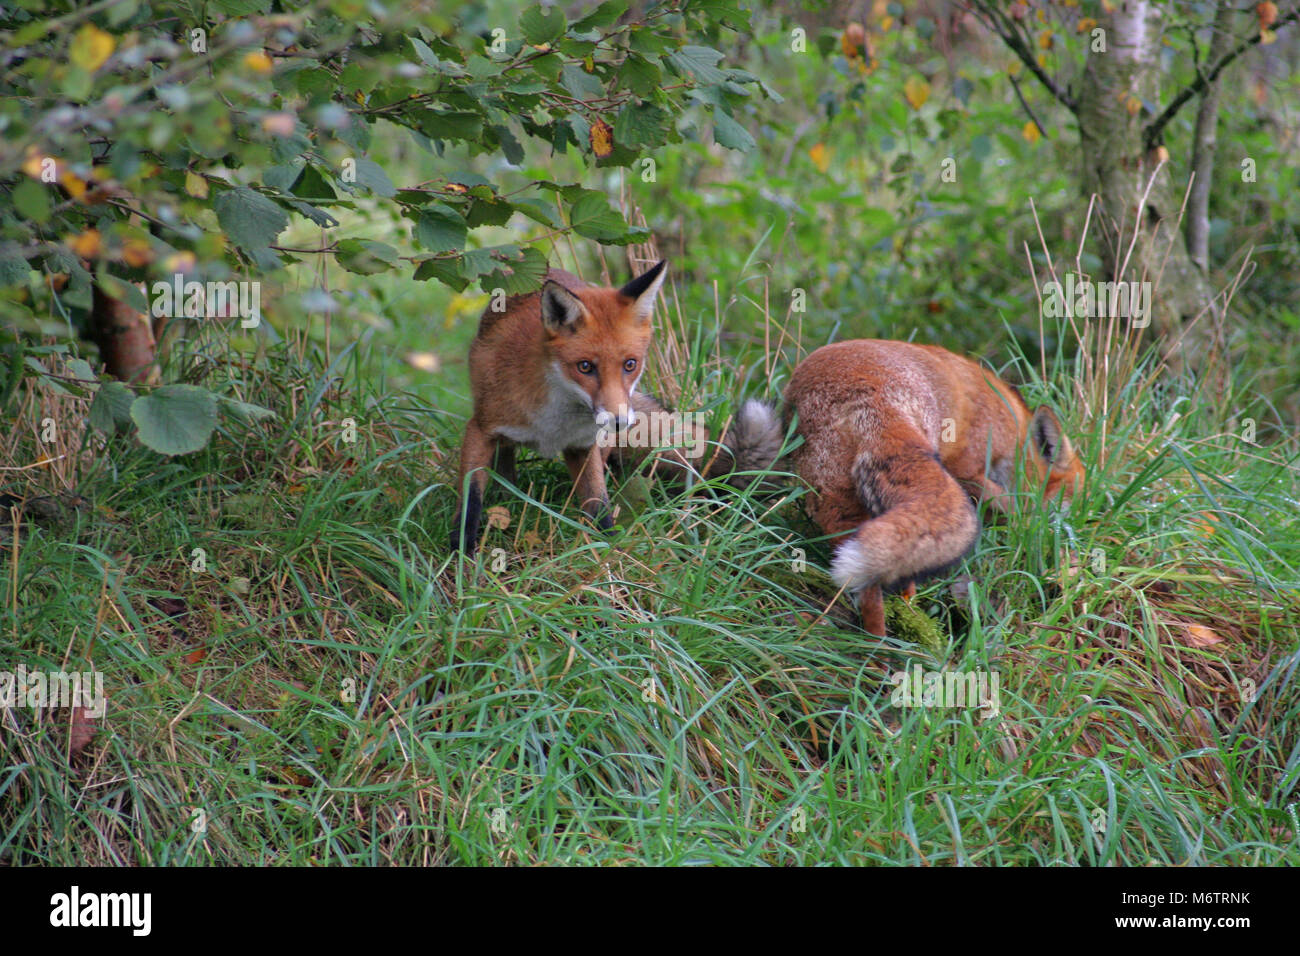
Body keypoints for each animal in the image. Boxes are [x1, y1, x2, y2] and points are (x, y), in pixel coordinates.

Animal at [452, 265, 785, 556]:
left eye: (630, 364)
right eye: (585, 367)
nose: (619, 421)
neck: (554, 421)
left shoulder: (583, 446)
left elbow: (598, 503)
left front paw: (609, 548)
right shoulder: (481, 428)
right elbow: (470, 499)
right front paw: (460, 552)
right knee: (505, 461)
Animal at [733, 340, 1086, 639]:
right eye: (1074, 500)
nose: (1082, 531)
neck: (1009, 425)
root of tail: (873, 397)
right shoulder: (967, 466)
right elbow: (1010, 506)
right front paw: (1029, 525)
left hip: (836, 499)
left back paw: (879, 639)